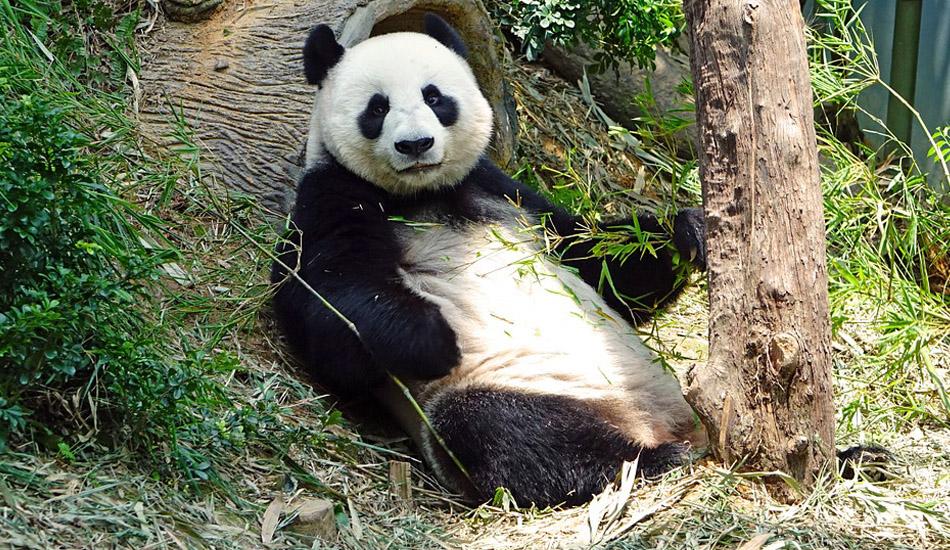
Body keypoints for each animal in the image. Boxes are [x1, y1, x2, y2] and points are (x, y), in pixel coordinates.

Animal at [271, 14, 710, 508]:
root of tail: (648, 421)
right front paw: (433, 339)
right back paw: (649, 459)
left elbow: (598, 262)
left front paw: (689, 231)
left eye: (434, 97)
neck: (423, 194)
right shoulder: (331, 195)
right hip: (514, 384)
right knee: (507, 431)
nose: (416, 144)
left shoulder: (504, 192)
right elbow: (327, 304)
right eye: (377, 108)